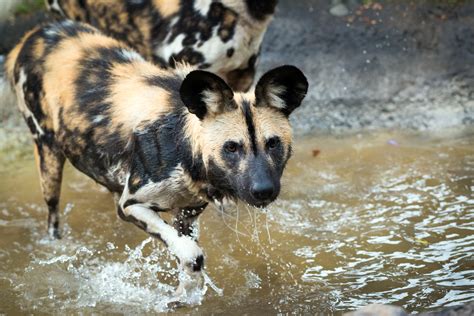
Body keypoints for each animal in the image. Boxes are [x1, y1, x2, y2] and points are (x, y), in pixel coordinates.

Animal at [5, 21, 310, 296]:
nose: (263, 191)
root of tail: (33, 35)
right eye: (232, 148)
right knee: (52, 215)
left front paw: (184, 297)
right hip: (48, 158)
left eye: (273, 144)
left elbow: (185, 259)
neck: (184, 147)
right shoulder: (131, 205)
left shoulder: (185, 215)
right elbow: (193, 256)